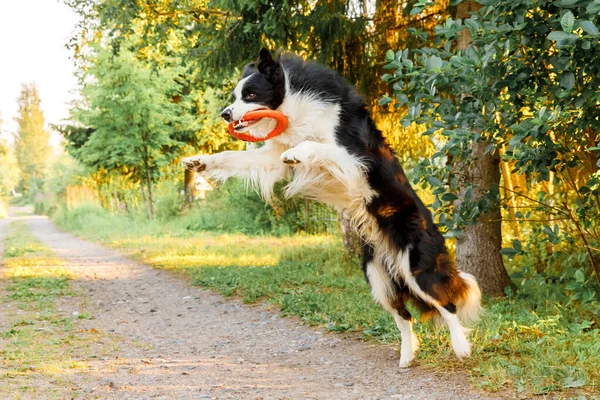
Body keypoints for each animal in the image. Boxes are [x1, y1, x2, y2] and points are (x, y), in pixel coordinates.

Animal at [180, 48, 480, 368]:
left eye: (250, 94)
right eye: (235, 95)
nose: (225, 114)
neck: (294, 105)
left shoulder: (355, 160)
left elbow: (316, 146)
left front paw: (296, 152)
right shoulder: (271, 159)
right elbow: (231, 156)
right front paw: (198, 161)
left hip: (417, 267)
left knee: (447, 304)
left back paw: (461, 347)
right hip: (377, 277)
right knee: (404, 316)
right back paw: (406, 357)